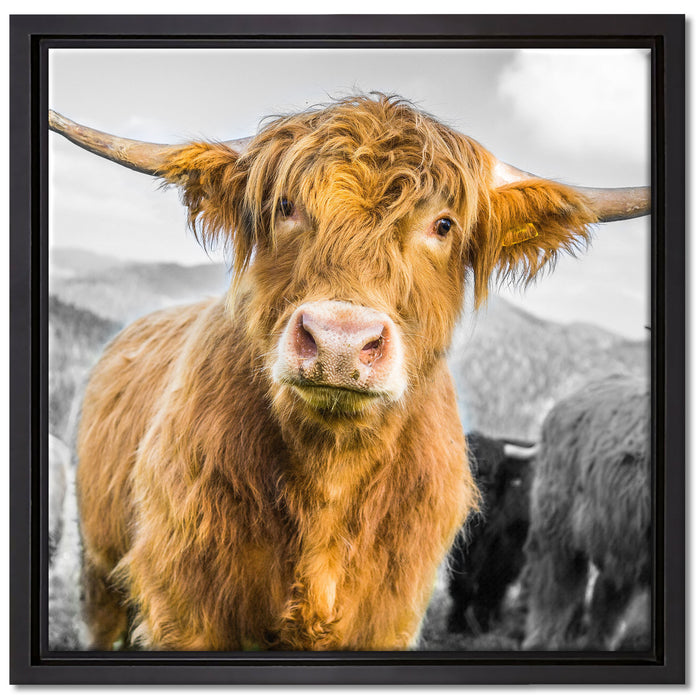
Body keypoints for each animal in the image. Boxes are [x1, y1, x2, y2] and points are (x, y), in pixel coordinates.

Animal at [447, 432, 535, 636]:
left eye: (490, 478)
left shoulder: (508, 553)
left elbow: (493, 586)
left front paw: (483, 623)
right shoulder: (461, 551)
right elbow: (462, 584)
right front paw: (456, 622)